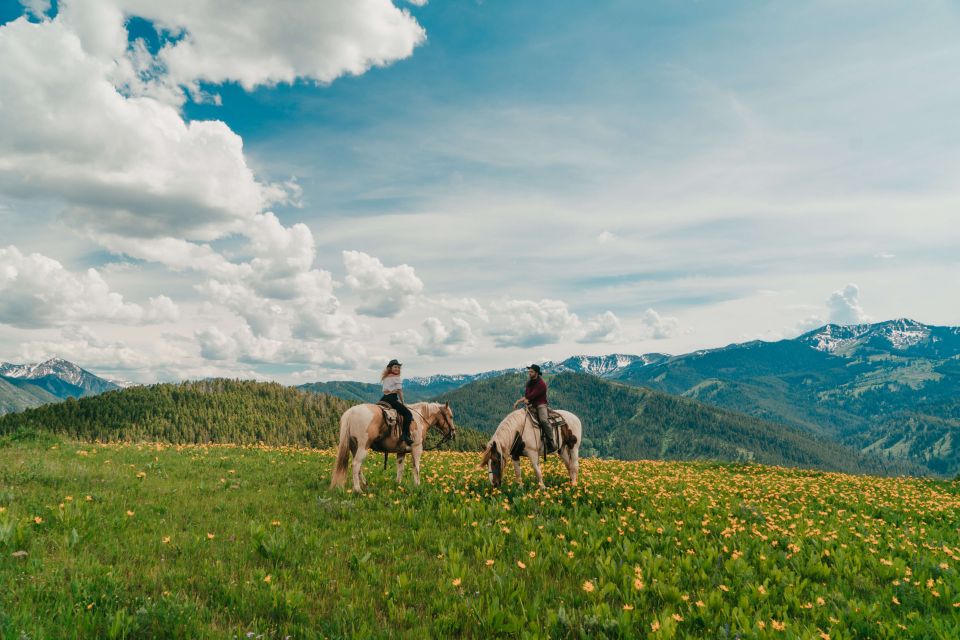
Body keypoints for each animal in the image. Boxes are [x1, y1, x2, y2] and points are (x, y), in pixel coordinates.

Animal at [328, 400, 456, 496]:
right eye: (451, 416)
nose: (453, 433)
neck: (419, 419)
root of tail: (351, 412)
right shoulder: (417, 448)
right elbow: (416, 468)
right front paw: (417, 485)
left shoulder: (401, 452)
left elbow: (400, 469)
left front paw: (398, 484)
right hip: (363, 447)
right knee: (355, 465)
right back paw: (358, 489)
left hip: (354, 447)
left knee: (358, 467)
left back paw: (364, 484)